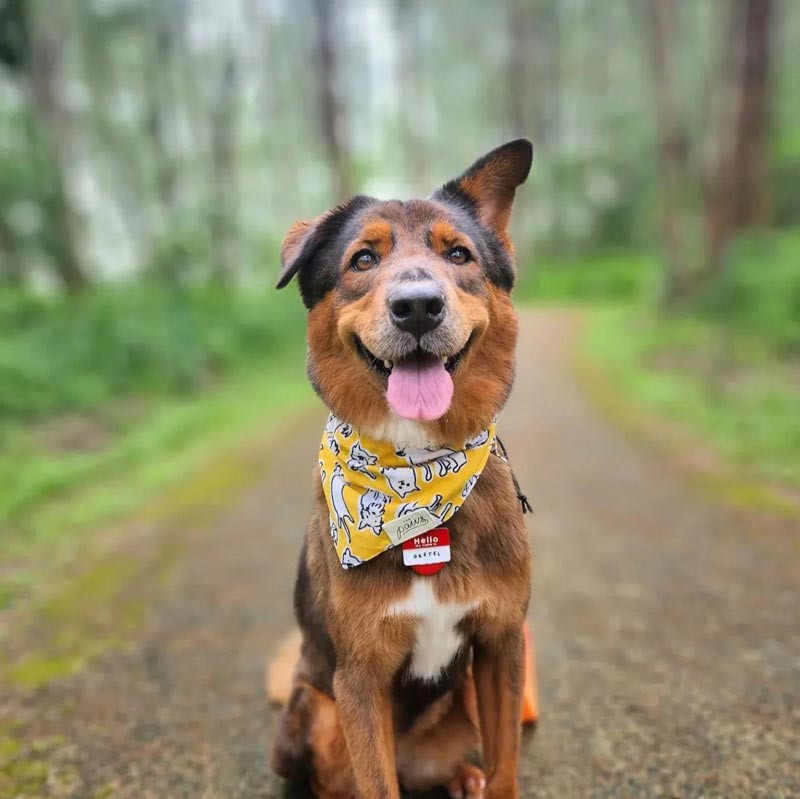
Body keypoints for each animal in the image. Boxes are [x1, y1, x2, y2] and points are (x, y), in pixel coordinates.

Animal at [270, 141, 536, 796]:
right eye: (363, 258)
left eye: (459, 254)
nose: (417, 307)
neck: (416, 476)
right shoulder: (360, 679)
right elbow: (377, 783)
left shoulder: (501, 646)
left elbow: (507, 768)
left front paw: (491, 778)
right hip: (314, 709)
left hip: (462, 696)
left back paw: (462, 777)